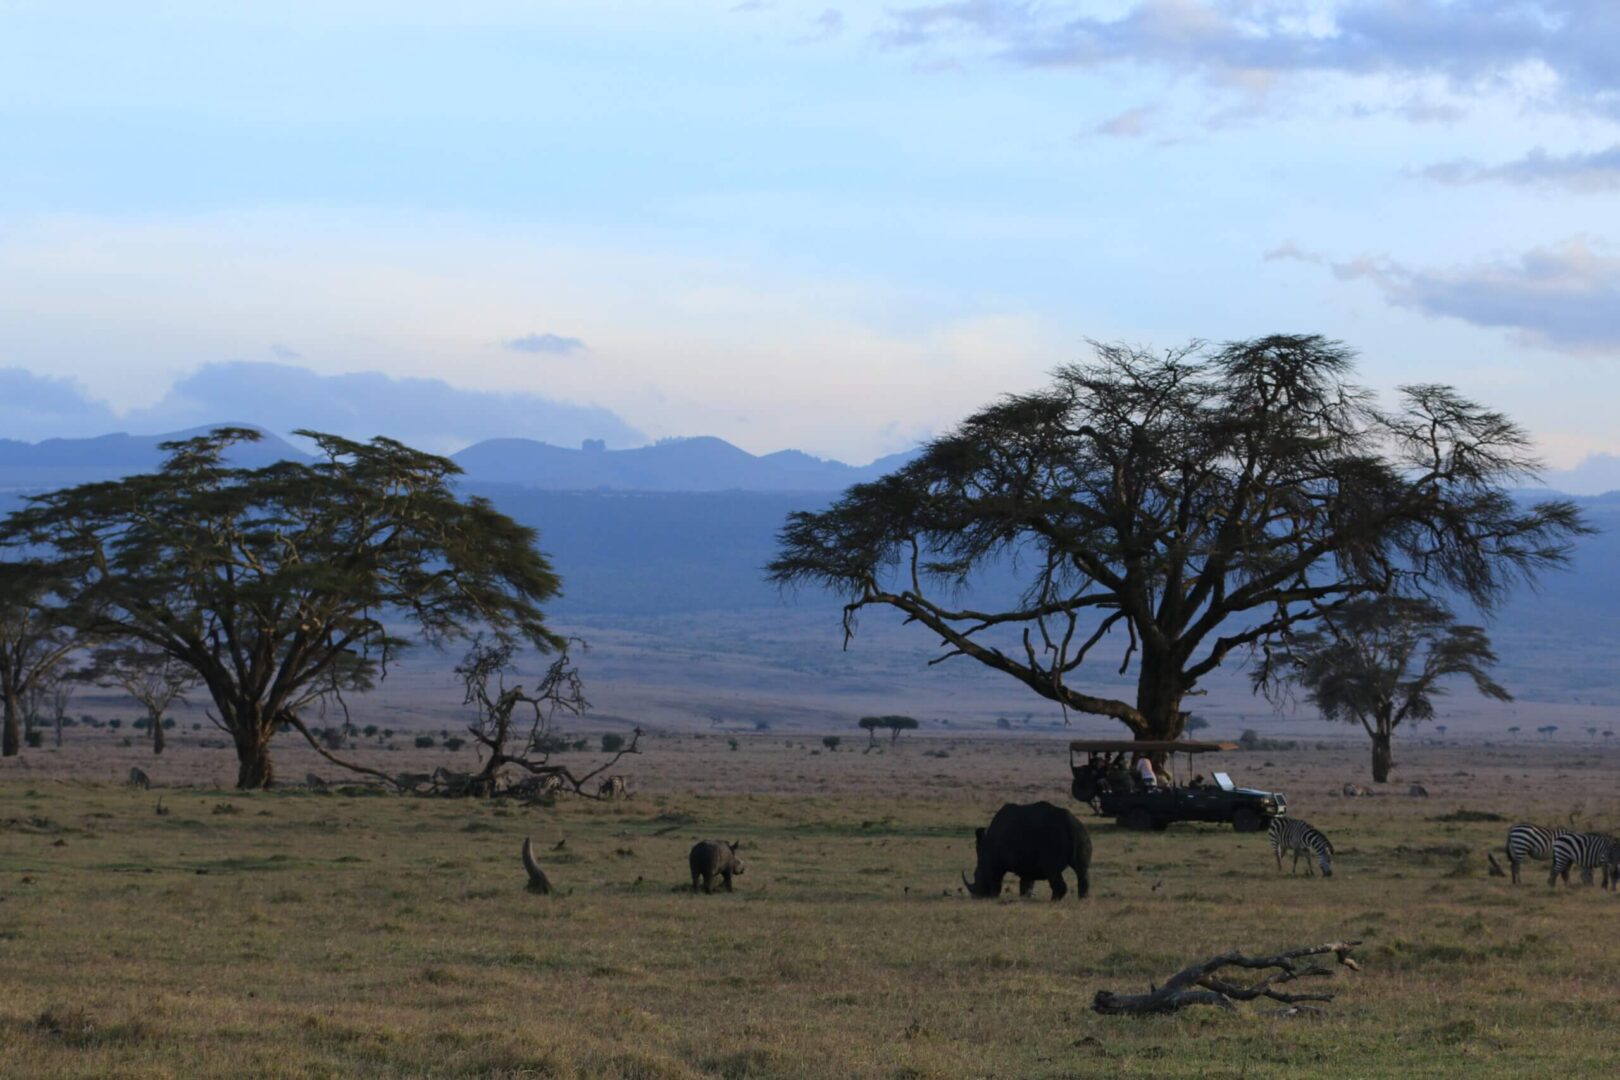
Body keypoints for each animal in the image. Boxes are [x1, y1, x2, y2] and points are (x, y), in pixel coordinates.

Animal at [963, 801, 1092, 901]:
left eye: (976, 875)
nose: (976, 896)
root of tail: (1070, 824)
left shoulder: (995, 863)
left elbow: (996, 879)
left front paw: (993, 897)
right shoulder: (1027, 863)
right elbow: (1027, 881)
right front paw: (1025, 897)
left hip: (1053, 839)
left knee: (1052, 870)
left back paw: (1053, 901)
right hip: (1082, 833)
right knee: (1082, 870)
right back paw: (1083, 900)